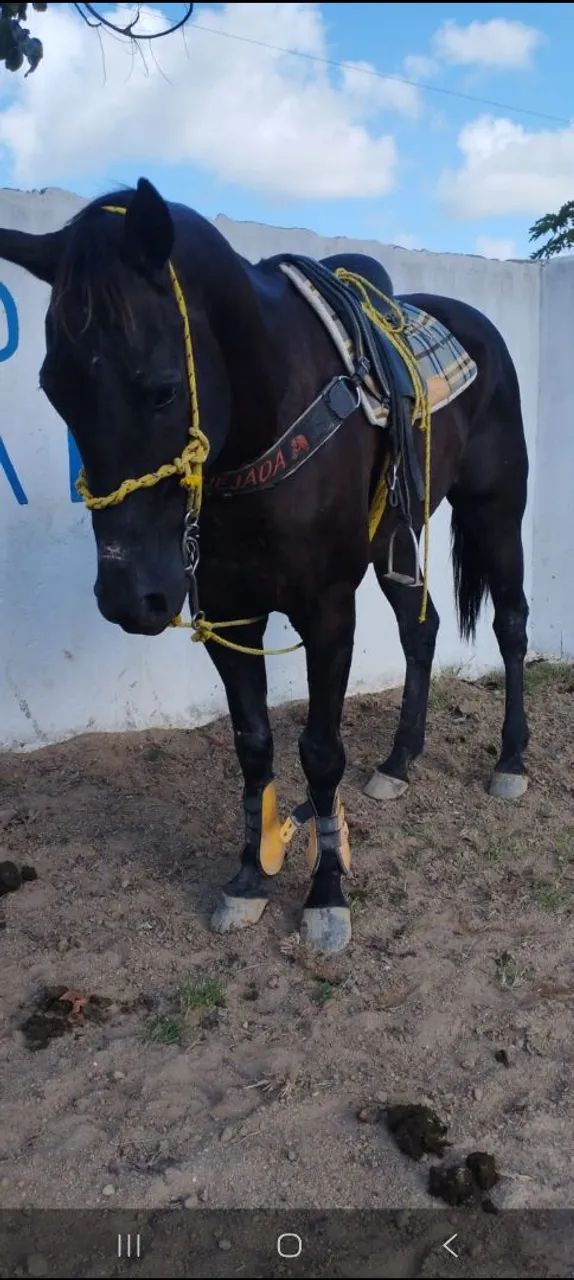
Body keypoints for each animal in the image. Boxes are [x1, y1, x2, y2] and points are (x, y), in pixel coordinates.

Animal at [0, 178, 529, 954]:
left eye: (163, 388)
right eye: (53, 389)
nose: (130, 598)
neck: (265, 420)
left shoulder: (328, 611)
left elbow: (321, 751)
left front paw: (326, 893)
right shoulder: (229, 613)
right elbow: (253, 745)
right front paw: (250, 877)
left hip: (496, 509)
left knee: (512, 624)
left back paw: (511, 761)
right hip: (396, 539)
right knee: (422, 629)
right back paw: (399, 762)